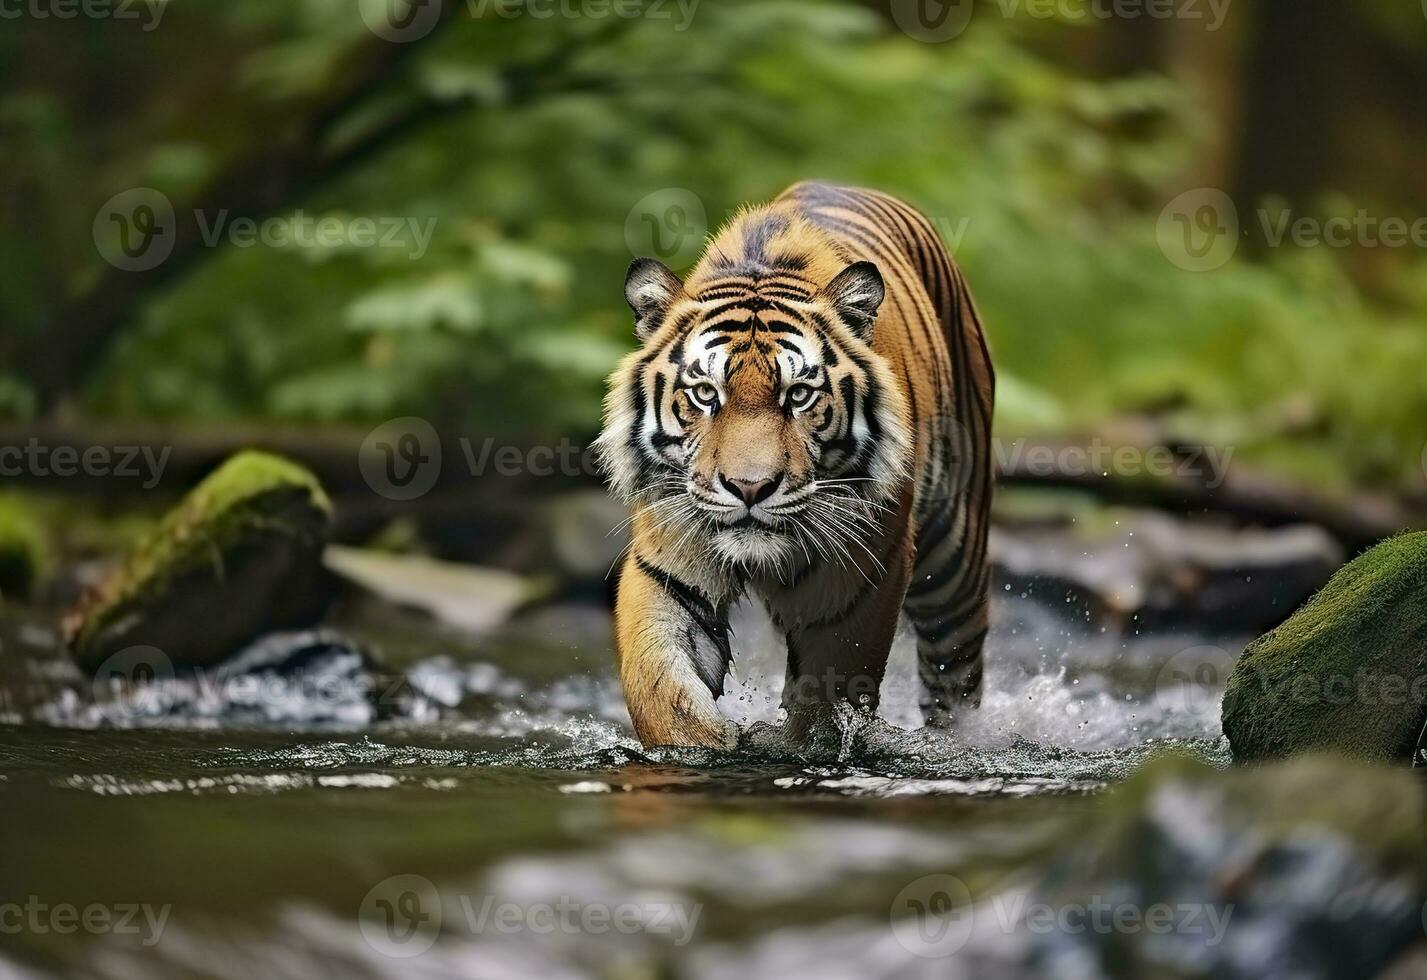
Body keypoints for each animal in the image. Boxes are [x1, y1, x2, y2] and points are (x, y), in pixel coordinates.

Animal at [593, 180, 993, 747]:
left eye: (799, 395)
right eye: (705, 394)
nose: (748, 488)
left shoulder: (863, 570)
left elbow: (833, 683)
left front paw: (801, 741)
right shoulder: (667, 559)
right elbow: (658, 682)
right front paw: (705, 744)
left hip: (954, 561)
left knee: (955, 675)